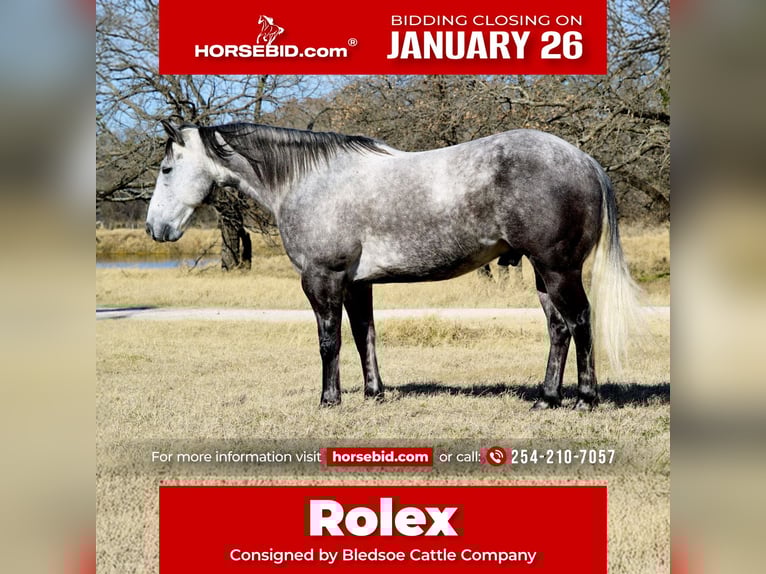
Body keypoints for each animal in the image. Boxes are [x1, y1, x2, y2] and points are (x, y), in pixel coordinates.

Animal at [146, 121, 641, 411]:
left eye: (167, 169)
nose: (155, 228)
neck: (308, 181)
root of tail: (584, 160)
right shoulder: (355, 283)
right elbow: (364, 335)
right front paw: (374, 393)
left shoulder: (322, 278)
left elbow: (329, 341)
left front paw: (329, 400)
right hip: (543, 273)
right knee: (558, 328)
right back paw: (546, 398)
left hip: (559, 270)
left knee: (580, 321)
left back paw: (585, 399)